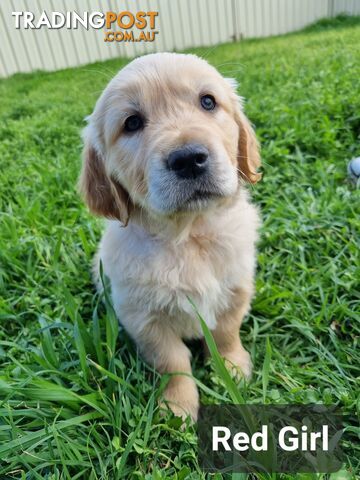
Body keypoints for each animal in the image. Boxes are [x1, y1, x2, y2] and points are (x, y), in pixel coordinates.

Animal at [79, 51, 260, 420]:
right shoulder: (143, 318)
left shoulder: (237, 288)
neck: (188, 235)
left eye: (208, 102)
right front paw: (178, 406)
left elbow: (226, 333)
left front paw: (233, 369)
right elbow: (173, 361)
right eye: (132, 123)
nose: (189, 158)